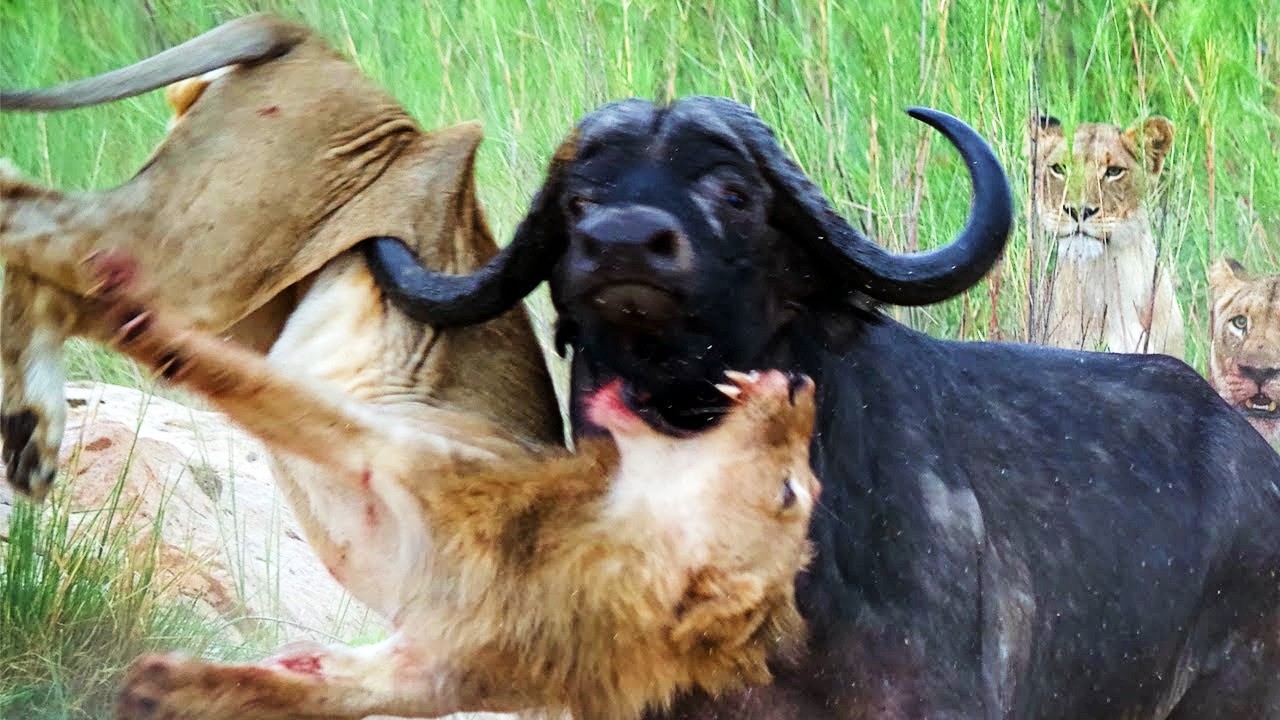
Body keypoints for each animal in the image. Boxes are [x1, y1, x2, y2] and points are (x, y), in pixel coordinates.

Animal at [36, 251, 817, 720]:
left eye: (791, 492)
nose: (803, 386)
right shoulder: (398, 450)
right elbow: (213, 364)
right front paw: (106, 299)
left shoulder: (425, 672)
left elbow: (282, 688)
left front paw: (154, 685)